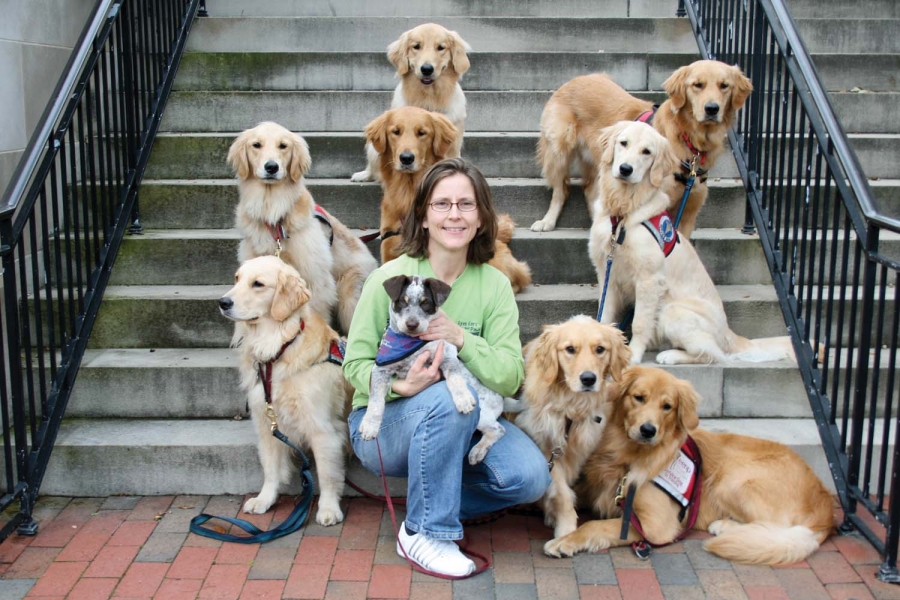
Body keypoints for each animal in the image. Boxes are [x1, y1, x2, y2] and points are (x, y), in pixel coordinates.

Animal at [360, 274, 510, 466]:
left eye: (425, 303)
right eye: (402, 301)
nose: (412, 324)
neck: (411, 342)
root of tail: (501, 398)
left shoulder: (446, 353)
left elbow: (455, 379)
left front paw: (463, 399)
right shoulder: (381, 369)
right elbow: (376, 401)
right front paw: (369, 426)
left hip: (483, 414)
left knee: (499, 429)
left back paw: (478, 450)